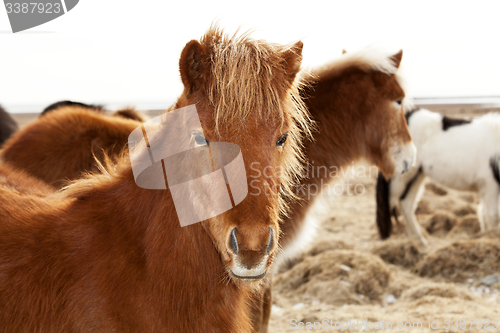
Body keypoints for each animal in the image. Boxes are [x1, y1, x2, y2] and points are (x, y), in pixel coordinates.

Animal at [376, 108, 498, 244]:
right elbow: (491, 216)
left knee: (406, 205)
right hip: (400, 178)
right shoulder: (490, 186)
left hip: (416, 176)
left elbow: (485, 215)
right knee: (388, 204)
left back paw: (419, 241)